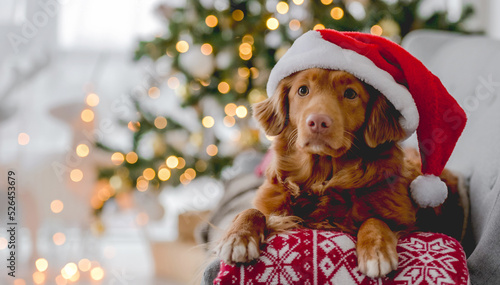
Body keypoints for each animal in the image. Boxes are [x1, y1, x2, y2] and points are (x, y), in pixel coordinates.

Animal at [215, 69, 460, 278]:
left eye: (350, 93)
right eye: (302, 90)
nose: (318, 122)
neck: (322, 177)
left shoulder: (407, 223)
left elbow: (374, 220)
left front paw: (377, 251)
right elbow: (250, 211)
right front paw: (238, 237)